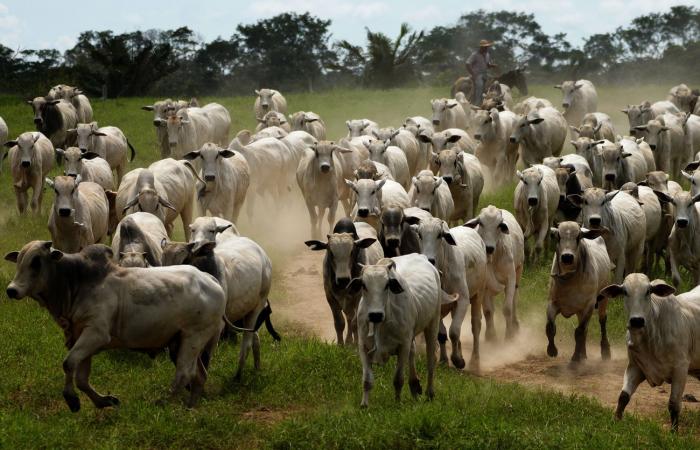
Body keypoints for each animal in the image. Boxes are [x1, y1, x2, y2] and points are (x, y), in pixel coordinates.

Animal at [548, 223, 612, 364]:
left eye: (578, 237)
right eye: (558, 236)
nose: (567, 257)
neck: (569, 279)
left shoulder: (588, 306)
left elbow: (579, 332)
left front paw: (575, 357)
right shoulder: (552, 303)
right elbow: (550, 327)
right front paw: (552, 350)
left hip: (603, 298)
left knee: (602, 321)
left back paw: (605, 351)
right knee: (586, 329)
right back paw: (583, 354)